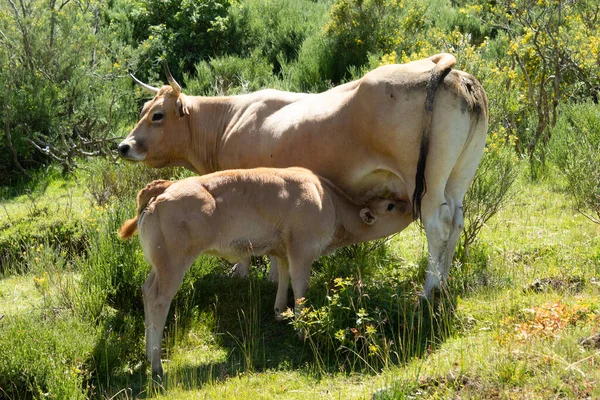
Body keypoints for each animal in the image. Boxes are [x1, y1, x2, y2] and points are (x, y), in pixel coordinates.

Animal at [117, 53, 488, 296]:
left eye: (158, 115)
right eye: (144, 109)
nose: (123, 146)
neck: (231, 118)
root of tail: (448, 71)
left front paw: (242, 273)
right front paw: (272, 276)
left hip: (427, 186)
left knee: (437, 225)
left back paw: (428, 291)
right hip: (457, 180)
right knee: (456, 222)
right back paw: (444, 285)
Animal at [120, 166, 412, 378]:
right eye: (390, 206)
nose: (409, 205)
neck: (327, 200)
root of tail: (164, 189)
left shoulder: (282, 250)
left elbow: (284, 276)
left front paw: (281, 312)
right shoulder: (302, 251)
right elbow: (301, 286)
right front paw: (303, 331)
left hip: (158, 266)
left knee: (146, 292)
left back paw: (148, 355)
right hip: (173, 265)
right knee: (159, 300)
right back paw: (156, 365)